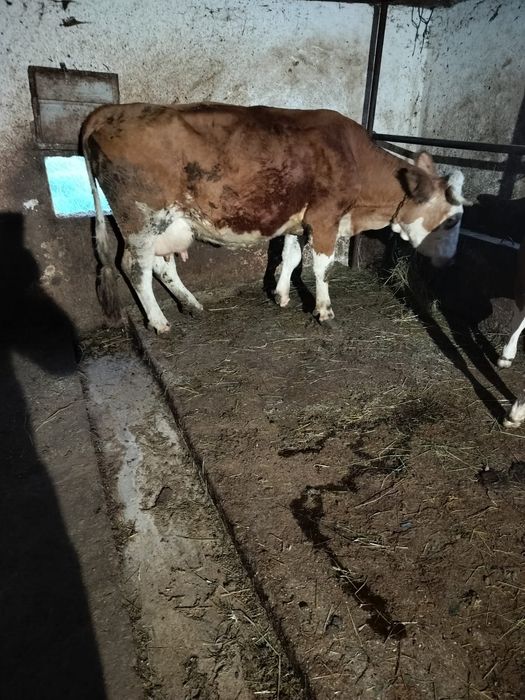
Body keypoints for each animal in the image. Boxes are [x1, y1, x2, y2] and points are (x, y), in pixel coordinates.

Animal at [82, 102, 468, 334]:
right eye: (451, 221)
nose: (451, 262)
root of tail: (112, 110)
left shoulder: (299, 221)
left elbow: (291, 257)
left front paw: (281, 295)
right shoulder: (325, 218)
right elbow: (321, 267)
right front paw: (324, 311)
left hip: (168, 223)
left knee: (161, 265)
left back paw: (191, 305)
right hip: (140, 217)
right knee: (135, 266)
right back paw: (160, 321)